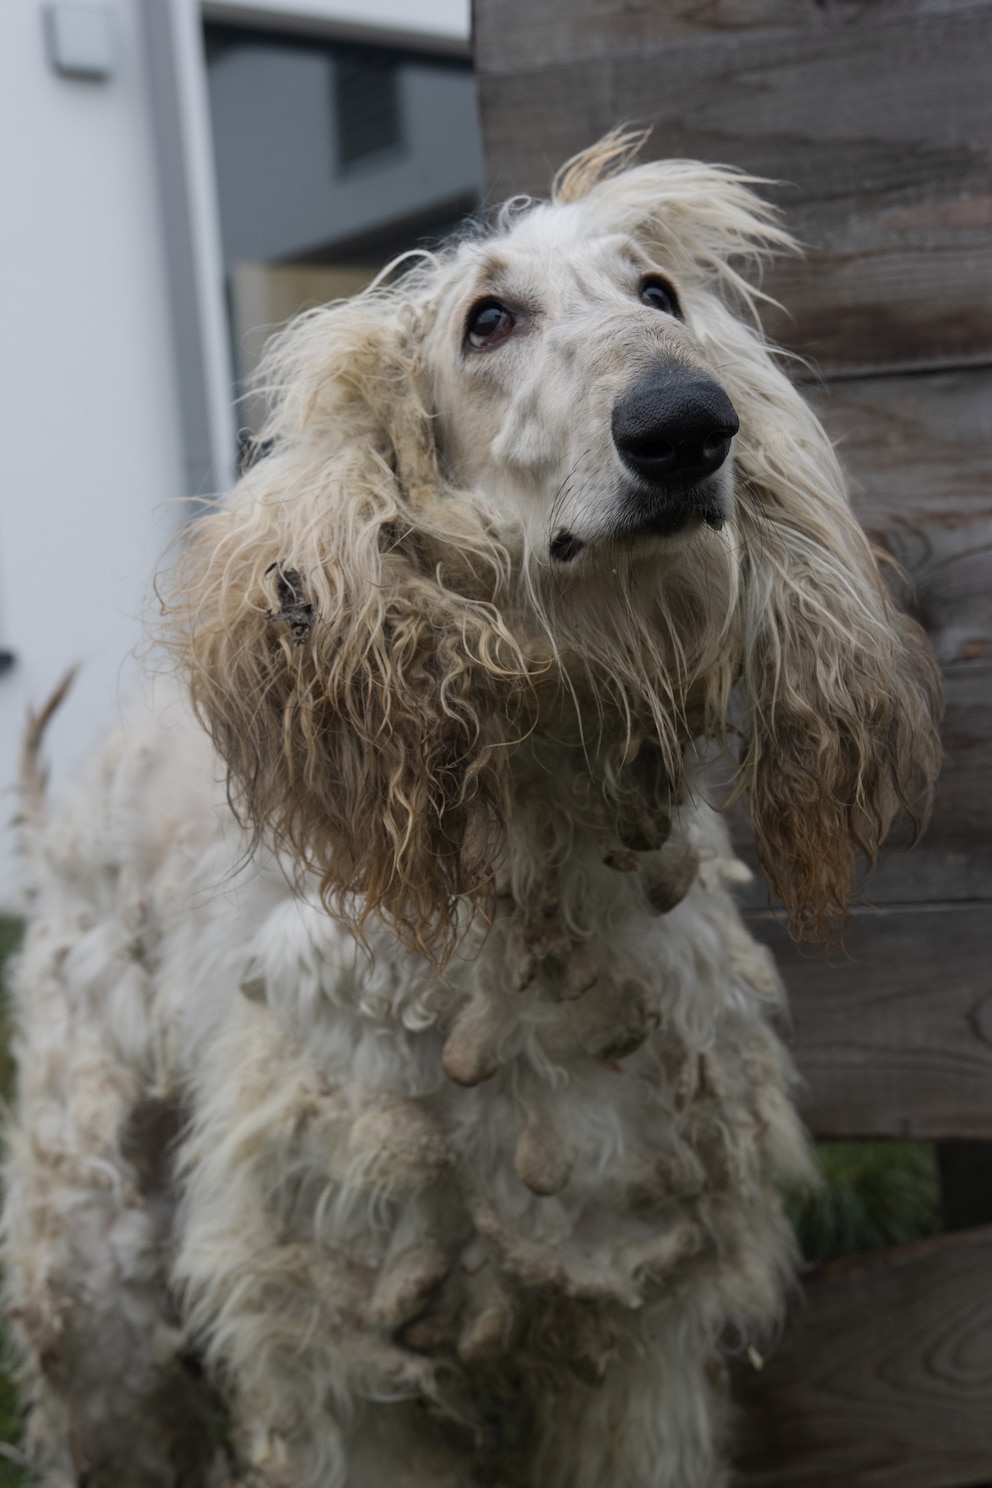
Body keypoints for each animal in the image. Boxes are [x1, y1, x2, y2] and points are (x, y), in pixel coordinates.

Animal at [3, 136, 945, 1488]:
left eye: (657, 293)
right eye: (485, 319)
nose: (685, 426)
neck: (536, 913)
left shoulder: (638, 1327)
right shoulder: (342, 1352)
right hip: (94, 1292)